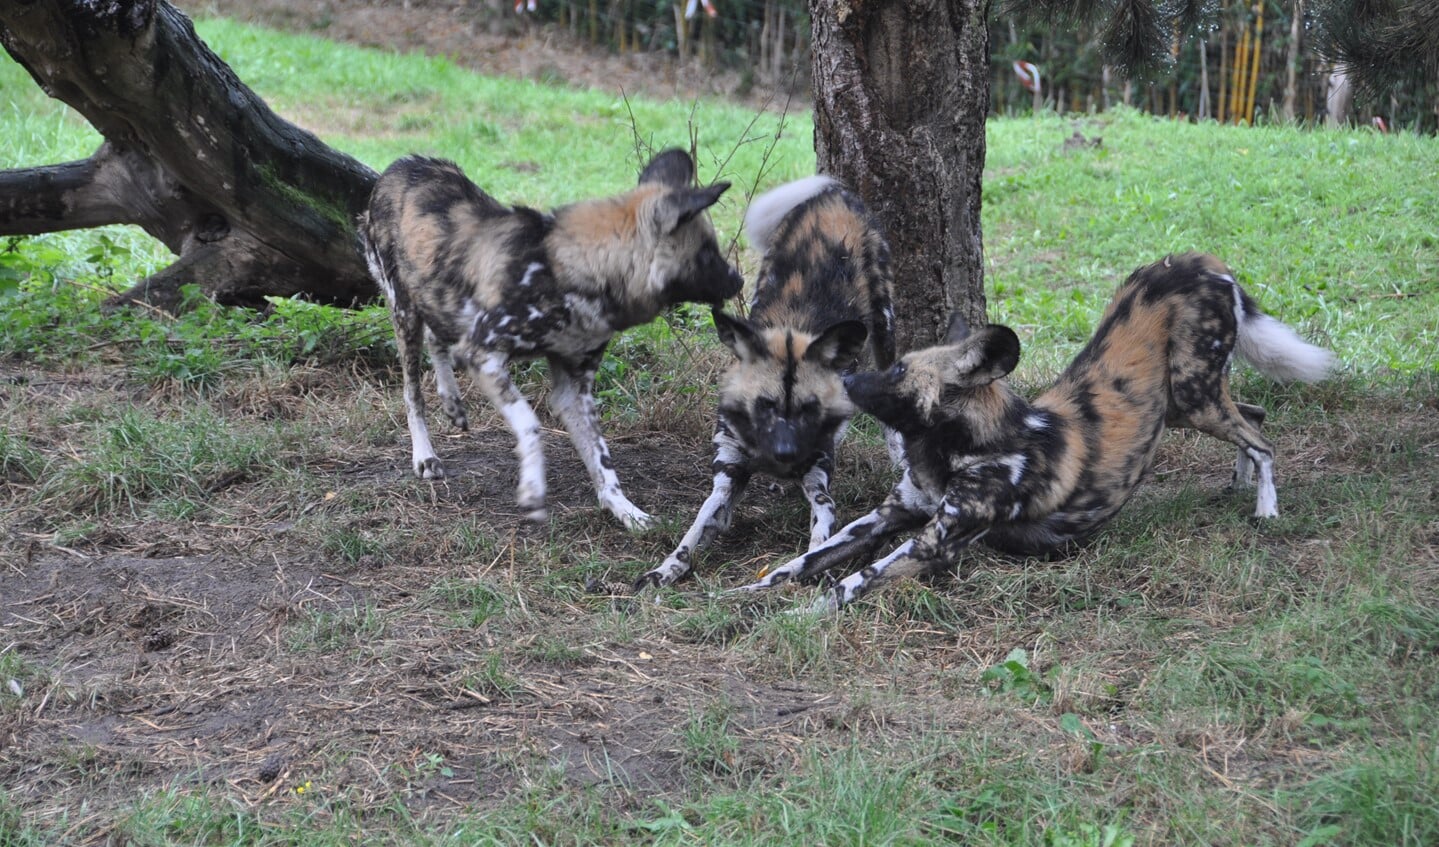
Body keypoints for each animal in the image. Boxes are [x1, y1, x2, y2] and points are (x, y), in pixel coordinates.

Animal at [362, 146, 742, 529]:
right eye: (707, 252)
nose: (739, 280)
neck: (577, 274)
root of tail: (404, 163)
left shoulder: (573, 388)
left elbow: (603, 461)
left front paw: (625, 511)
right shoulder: (482, 353)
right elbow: (531, 424)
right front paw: (532, 490)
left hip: (439, 301)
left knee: (438, 342)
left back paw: (453, 403)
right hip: (404, 314)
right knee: (412, 393)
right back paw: (425, 455)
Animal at [636, 174, 892, 586]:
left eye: (809, 409)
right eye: (764, 406)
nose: (785, 454)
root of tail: (833, 195)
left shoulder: (819, 485)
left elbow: (820, 536)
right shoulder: (727, 479)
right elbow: (692, 532)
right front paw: (665, 569)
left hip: (885, 324)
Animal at [742, 253, 1335, 606]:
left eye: (897, 372)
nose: (841, 377)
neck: (954, 448)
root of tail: (1201, 261)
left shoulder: (935, 542)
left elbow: (849, 582)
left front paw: (798, 616)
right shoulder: (891, 514)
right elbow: (803, 562)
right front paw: (747, 594)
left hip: (1193, 395)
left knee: (1262, 439)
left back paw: (1266, 511)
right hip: (1191, 403)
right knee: (1255, 416)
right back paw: (1238, 486)